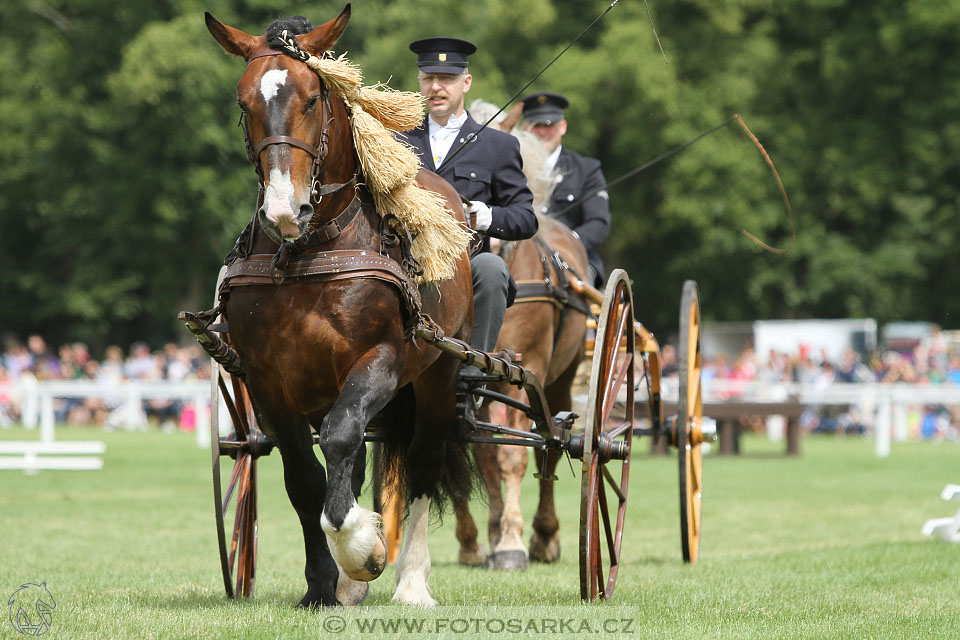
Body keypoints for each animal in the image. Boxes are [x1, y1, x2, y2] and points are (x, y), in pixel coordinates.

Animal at [205, 7, 472, 608]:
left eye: (311, 98)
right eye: (243, 103)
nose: (285, 208)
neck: (310, 252)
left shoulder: (380, 362)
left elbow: (343, 437)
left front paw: (362, 548)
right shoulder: (267, 380)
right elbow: (306, 477)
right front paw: (324, 583)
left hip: (438, 374)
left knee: (421, 462)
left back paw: (411, 581)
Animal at [454, 216, 588, 568]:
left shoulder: (528, 373)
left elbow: (514, 457)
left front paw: (511, 541)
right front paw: (483, 539)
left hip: (559, 381)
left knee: (550, 449)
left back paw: (544, 536)